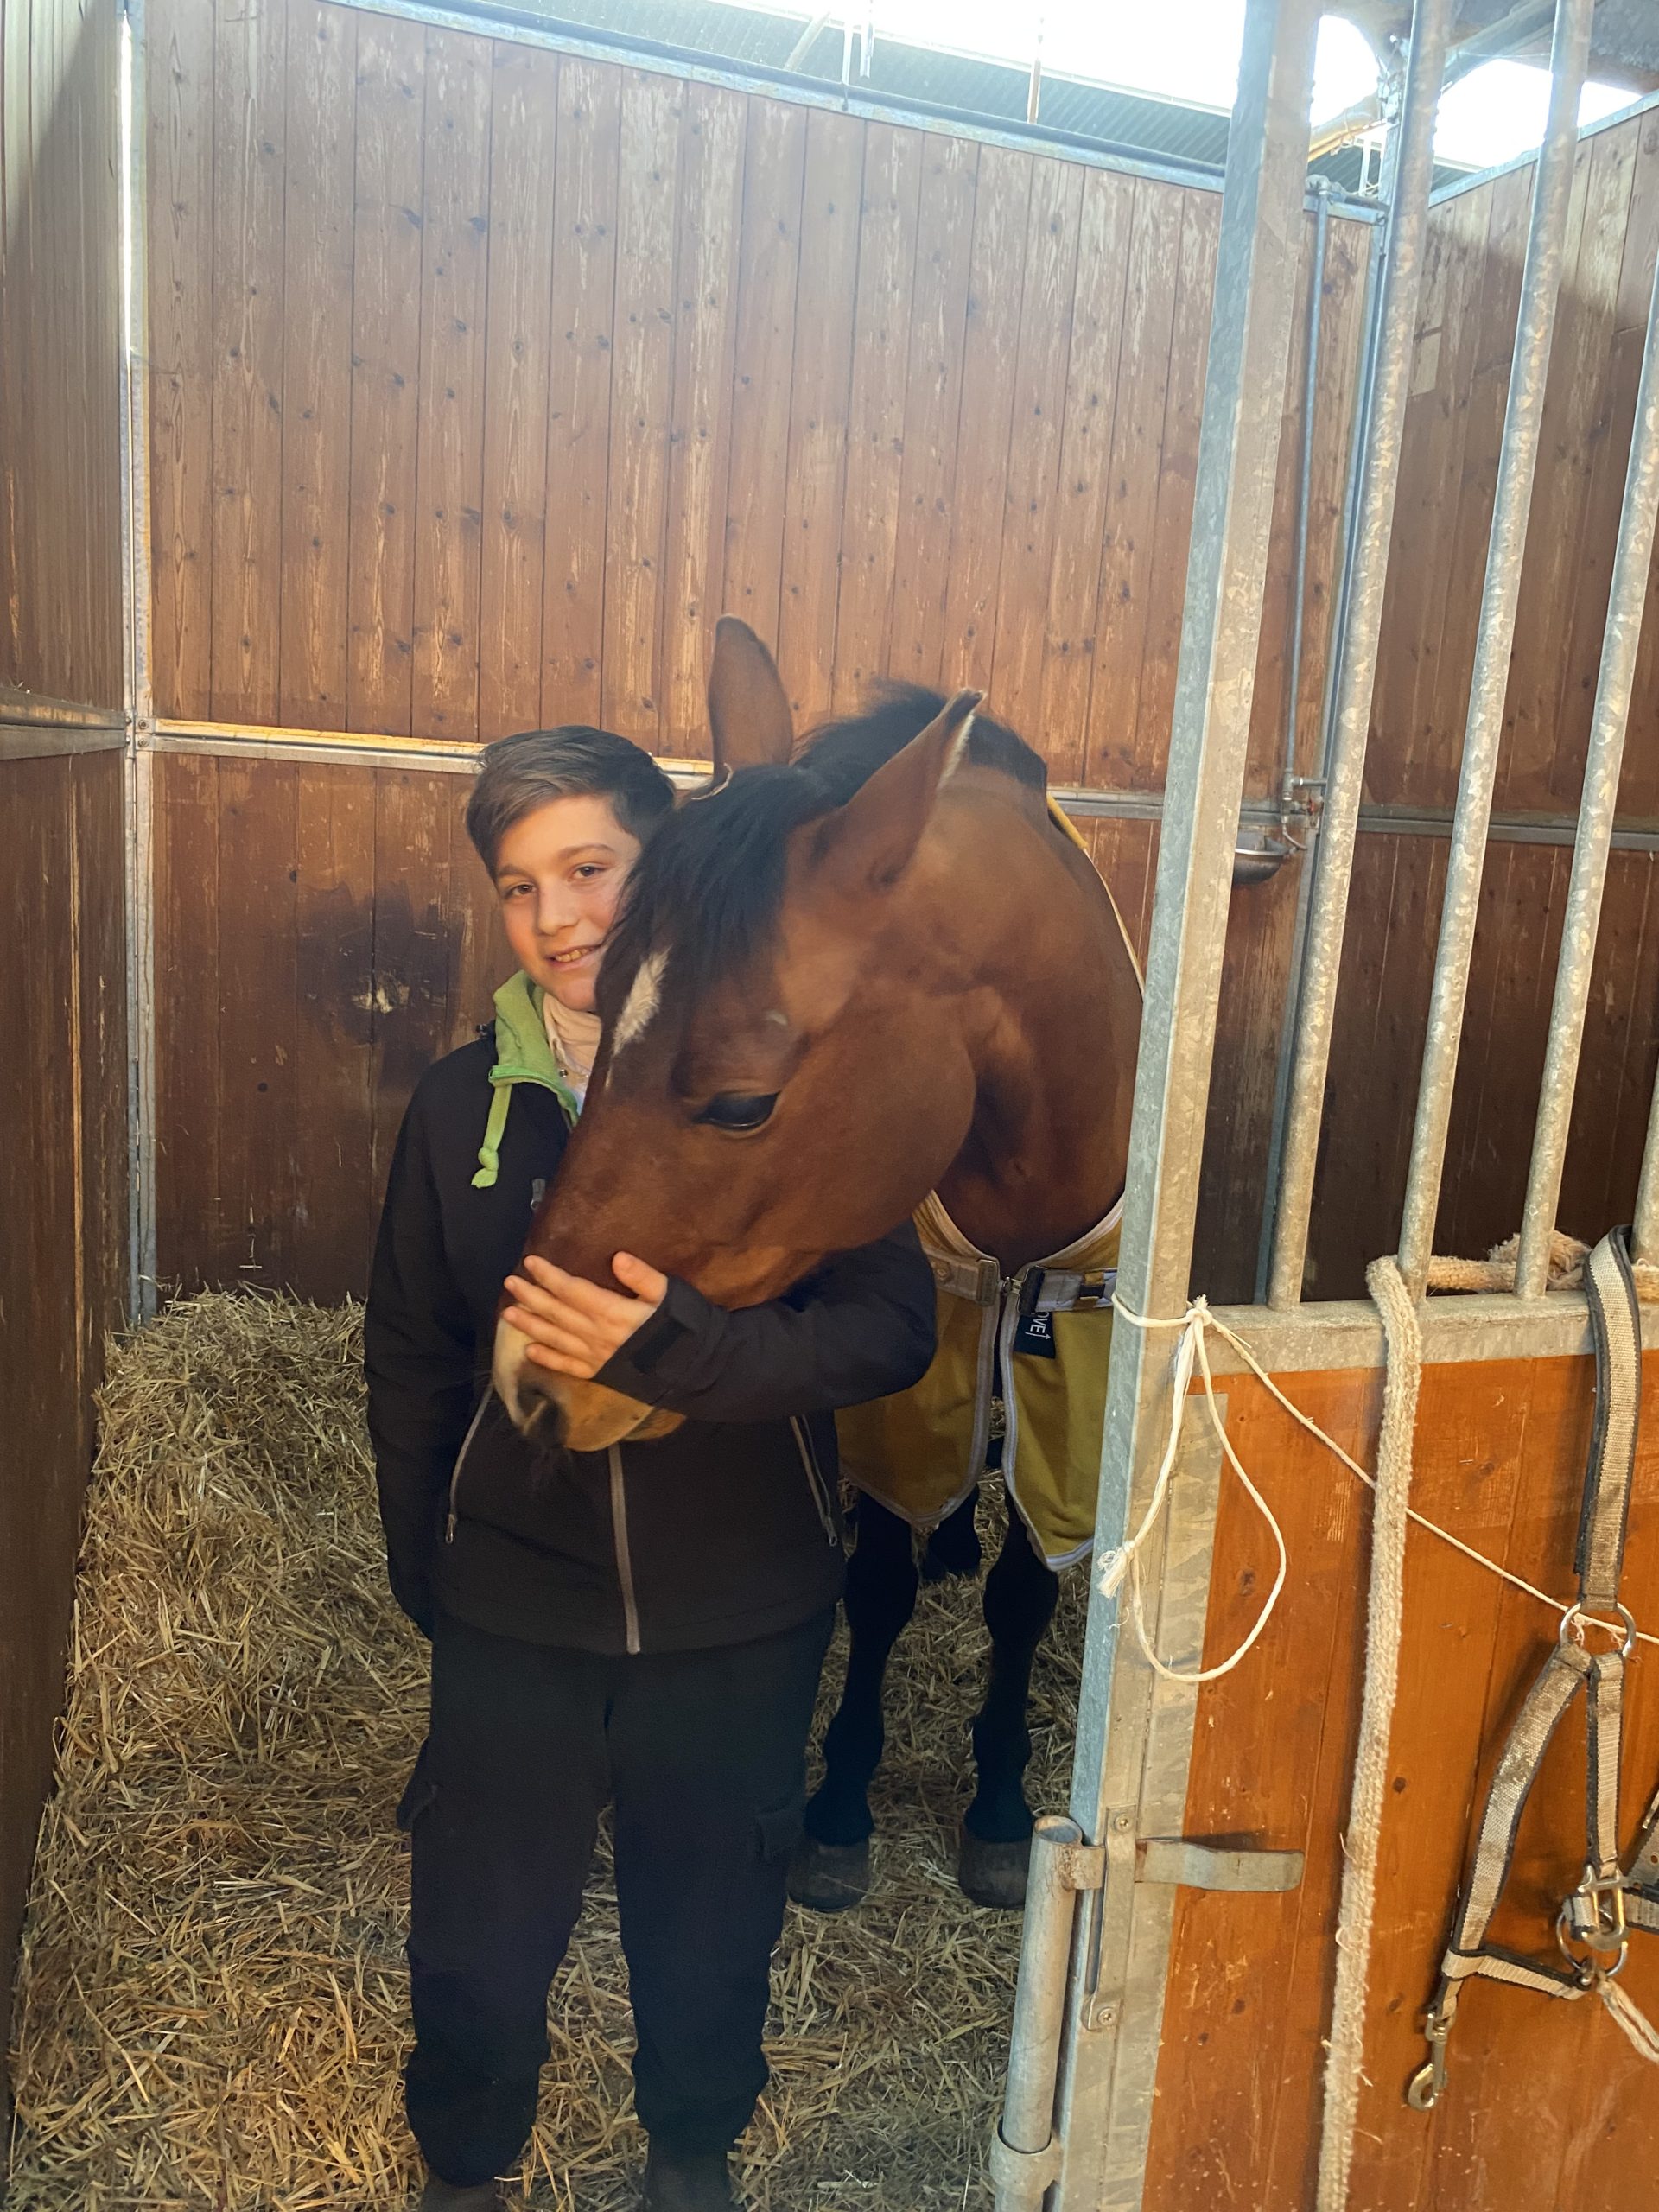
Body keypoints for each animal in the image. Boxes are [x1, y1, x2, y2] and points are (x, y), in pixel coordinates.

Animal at [492, 619, 1141, 1908]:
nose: (528, 1383)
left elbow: (1025, 1592)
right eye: (606, 1003)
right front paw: (840, 1804)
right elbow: (877, 1585)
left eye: (743, 1103)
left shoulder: (1069, 1380)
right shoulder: (911, 1390)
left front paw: (1001, 1808)